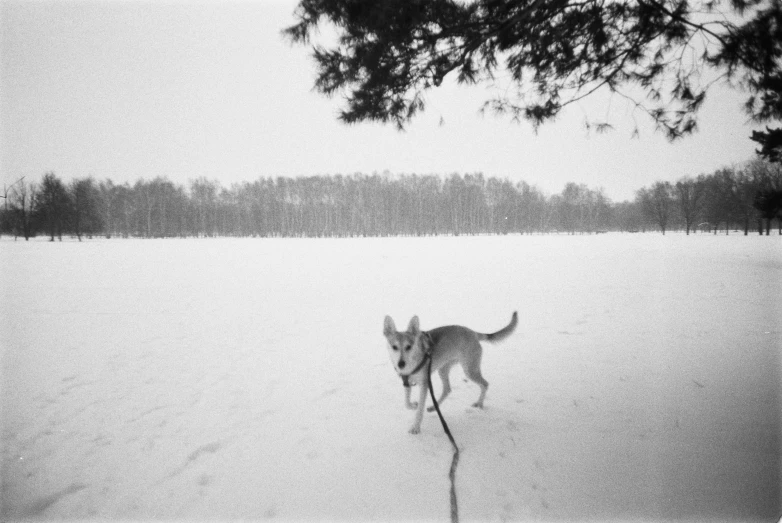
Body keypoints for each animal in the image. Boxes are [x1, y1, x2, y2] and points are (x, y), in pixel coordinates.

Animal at [386, 314, 520, 436]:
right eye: (394, 347)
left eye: (408, 347)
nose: (401, 364)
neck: (413, 362)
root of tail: (473, 333)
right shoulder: (406, 382)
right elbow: (407, 403)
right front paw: (413, 405)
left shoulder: (424, 384)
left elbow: (419, 411)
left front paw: (415, 427)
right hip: (443, 369)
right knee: (447, 389)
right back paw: (433, 407)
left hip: (469, 370)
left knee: (485, 384)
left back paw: (480, 404)